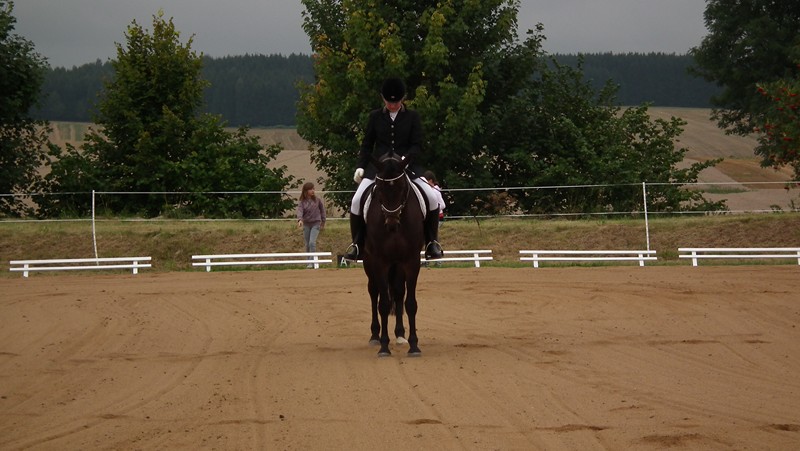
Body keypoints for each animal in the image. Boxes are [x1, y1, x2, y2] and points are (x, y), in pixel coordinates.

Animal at [362, 152, 425, 357]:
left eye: (403, 188)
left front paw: (414, 345)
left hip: (398, 265)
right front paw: (384, 346)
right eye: (379, 189)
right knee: (374, 292)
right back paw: (375, 335)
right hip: (369, 263)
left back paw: (400, 335)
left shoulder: (411, 261)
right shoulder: (379, 261)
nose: (391, 224)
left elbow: (410, 303)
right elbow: (382, 304)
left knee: (398, 292)